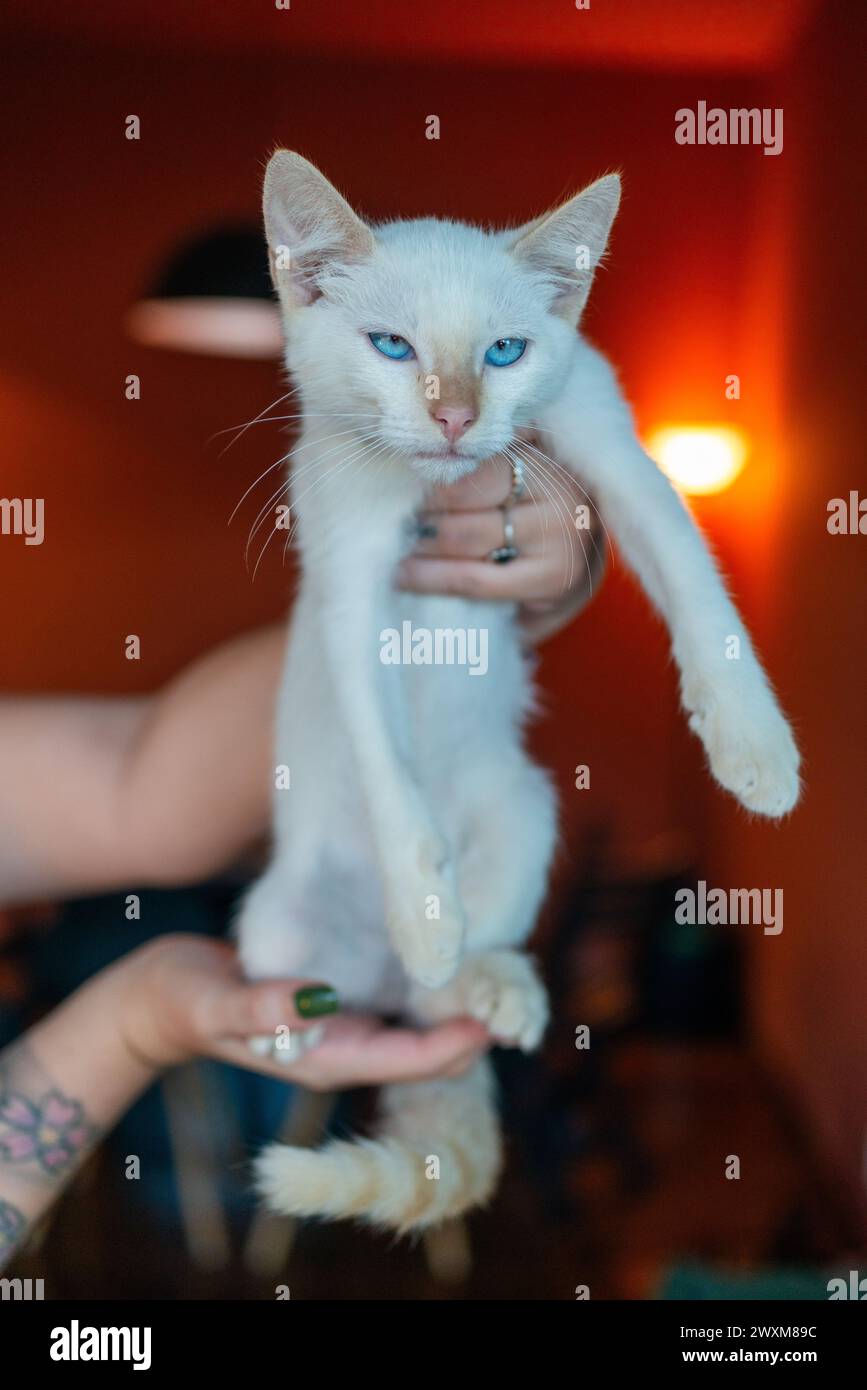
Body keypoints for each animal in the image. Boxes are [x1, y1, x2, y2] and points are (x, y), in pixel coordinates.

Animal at [234, 152, 800, 1234]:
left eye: (504, 352)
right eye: (391, 345)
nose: (456, 417)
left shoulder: (614, 451)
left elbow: (695, 580)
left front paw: (753, 747)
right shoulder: (344, 566)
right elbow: (382, 751)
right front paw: (425, 909)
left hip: (526, 808)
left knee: (435, 1002)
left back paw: (485, 980)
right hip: (271, 925)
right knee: (370, 993)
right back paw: (356, 993)